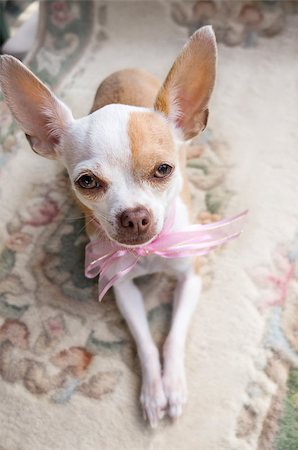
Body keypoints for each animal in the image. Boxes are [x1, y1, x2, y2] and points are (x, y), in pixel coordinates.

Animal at [1, 26, 218, 428]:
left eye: (163, 170)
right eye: (86, 182)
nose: (133, 216)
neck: (146, 253)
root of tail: (126, 68)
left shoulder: (191, 277)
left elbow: (173, 336)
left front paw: (173, 385)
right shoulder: (123, 290)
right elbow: (146, 342)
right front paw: (153, 392)